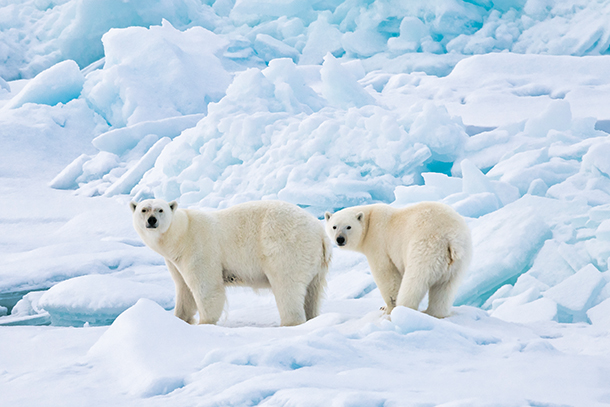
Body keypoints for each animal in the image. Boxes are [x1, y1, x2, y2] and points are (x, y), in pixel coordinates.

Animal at [130, 199, 330, 326]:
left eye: (160, 209)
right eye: (144, 209)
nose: (152, 220)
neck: (181, 233)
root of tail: (320, 233)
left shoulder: (200, 248)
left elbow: (207, 288)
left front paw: (205, 322)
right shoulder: (175, 262)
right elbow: (184, 290)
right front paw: (180, 318)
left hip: (286, 247)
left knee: (286, 287)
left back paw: (290, 322)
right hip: (316, 264)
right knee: (312, 293)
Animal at [324, 203, 470, 318]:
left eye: (348, 227)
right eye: (334, 226)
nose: (340, 239)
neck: (369, 221)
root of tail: (451, 239)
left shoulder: (378, 244)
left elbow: (386, 275)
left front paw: (387, 308)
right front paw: (384, 307)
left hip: (425, 248)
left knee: (414, 281)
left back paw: (403, 310)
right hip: (458, 261)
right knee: (445, 288)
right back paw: (433, 313)